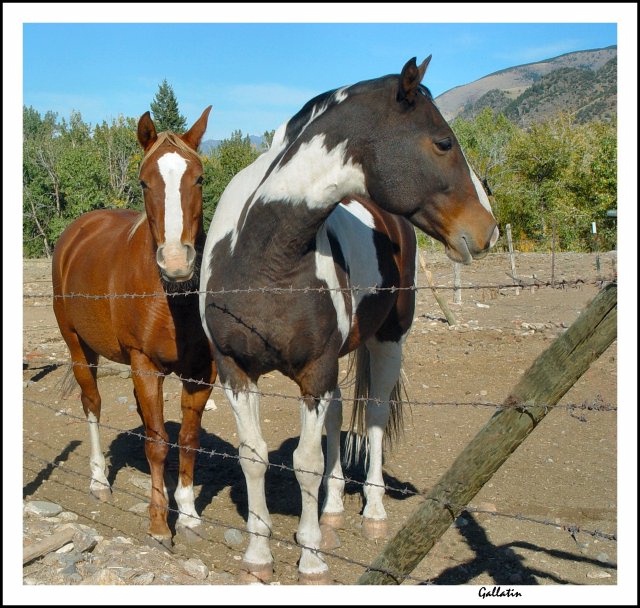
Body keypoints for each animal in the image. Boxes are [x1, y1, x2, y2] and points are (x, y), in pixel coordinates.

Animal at [51, 107, 216, 544]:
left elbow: (188, 440)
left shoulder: (201, 372)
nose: (176, 262)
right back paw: (98, 482)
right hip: (78, 347)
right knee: (92, 404)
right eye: (144, 181)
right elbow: (158, 444)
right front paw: (159, 524)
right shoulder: (145, 364)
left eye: (199, 178)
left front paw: (188, 514)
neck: (171, 297)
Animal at [198, 58, 498, 584]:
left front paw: (311, 557)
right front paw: (258, 555)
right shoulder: (235, 370)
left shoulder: (314, 370)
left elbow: (306, 461)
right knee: (340, 416)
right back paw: (334, 506)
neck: (262, 257)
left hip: (388, 341)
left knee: (374, 418)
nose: (489, 229)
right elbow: (253, 457)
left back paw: (373, 512)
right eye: (443, 142)